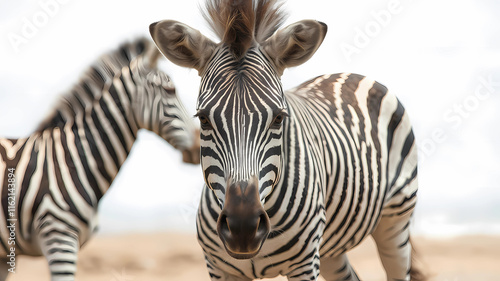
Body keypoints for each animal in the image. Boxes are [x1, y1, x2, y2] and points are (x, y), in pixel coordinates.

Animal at [150, 0, 424, 278]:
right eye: (203, 119)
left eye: (279, 118)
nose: (242, 228)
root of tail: (350, 74)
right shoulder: (218, 268)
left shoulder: (304, 264)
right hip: (329, 250)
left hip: (396, 220)